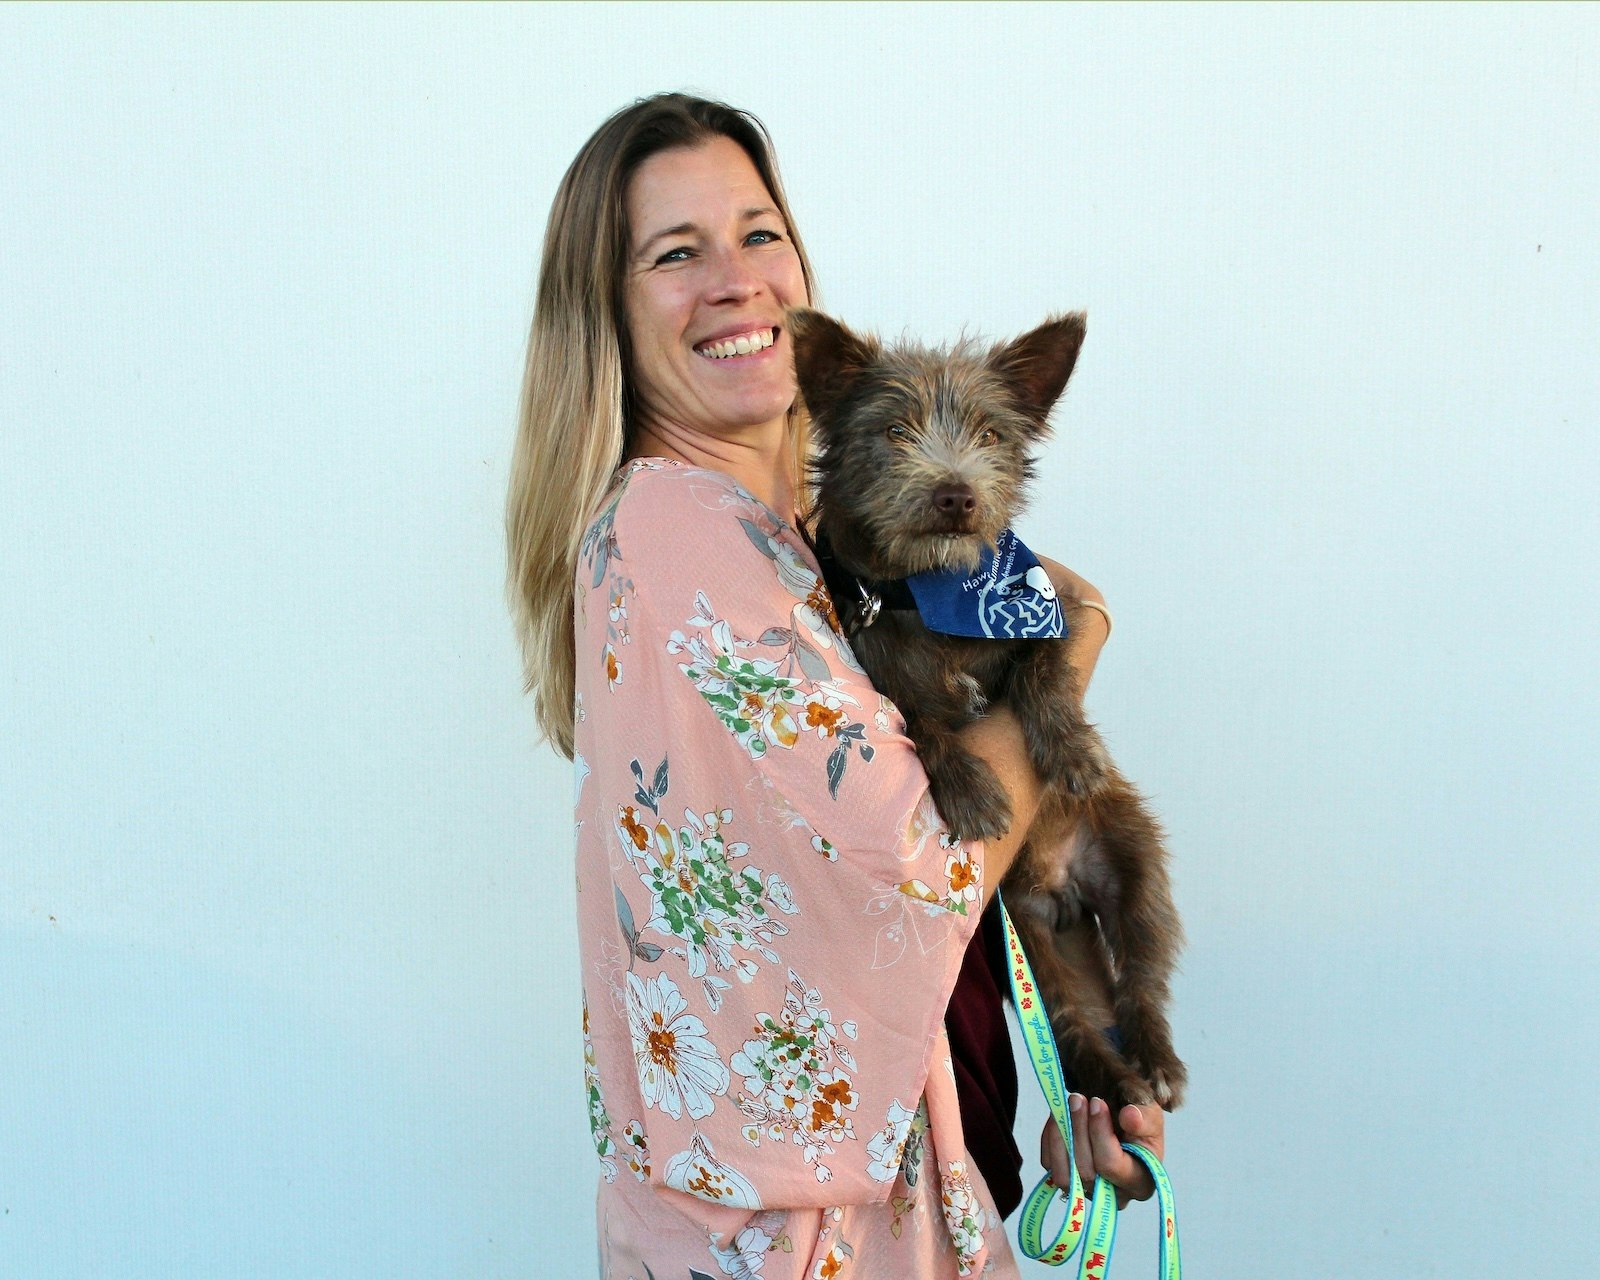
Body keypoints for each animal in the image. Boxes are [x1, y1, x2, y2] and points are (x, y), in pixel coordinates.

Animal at [790, 305, 1190, 1113]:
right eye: (894, 431)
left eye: (991, 434)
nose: (955, 495)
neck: (929, 591)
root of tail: (1063, 886)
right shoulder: (876, 663)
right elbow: (923, 721)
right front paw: (973, 791)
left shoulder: (1046, 613)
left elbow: (1043, 672)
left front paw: (1072, 753)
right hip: (1026, 946)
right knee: (1074, 1026)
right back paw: (1118, 1080)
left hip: (1137, 869)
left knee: (1141, 979)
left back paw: (1157, 1062)